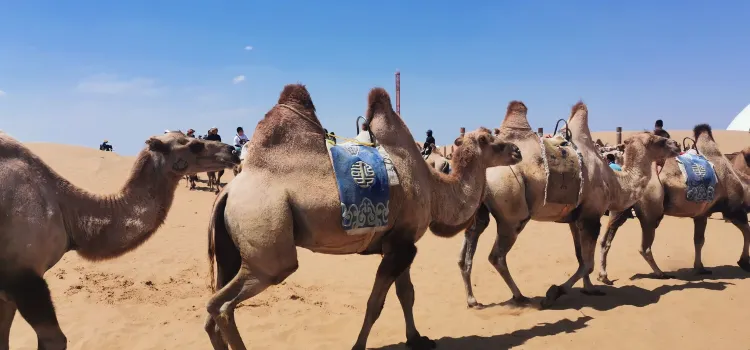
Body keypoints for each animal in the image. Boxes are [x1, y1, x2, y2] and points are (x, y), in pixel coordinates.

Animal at [0, 132, 239, 350]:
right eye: (194, 145)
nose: (233, 151)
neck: (67, 210)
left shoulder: (8, 288)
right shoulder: (24, 277)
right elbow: (55, 339)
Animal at [203, 85, 524, 350]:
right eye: (489, 139)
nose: (517, 150)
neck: (433, 190)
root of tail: (228, 191)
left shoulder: (400, 243)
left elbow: (406, 294)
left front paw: (417, 339)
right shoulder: (400, 247)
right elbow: (375, 304)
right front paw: (359, 346)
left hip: (232, 249)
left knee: (213, 308)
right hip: (268, 243)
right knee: (222, 305)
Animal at [458, 102, 680, 308]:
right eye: (658, 140)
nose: (676, 144)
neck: (615, 182)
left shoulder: (575, 219)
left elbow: (581, 257)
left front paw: (590, 289)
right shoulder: (592, 216)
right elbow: (588, 263)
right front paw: (554, 293)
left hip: (480, 212)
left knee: (466, 253)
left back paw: (472, 300)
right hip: (512, 215)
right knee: (497, 257)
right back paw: (520, 296)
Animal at [600, 124, 750, 284]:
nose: (675, 144)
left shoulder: (702, 214)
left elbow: (699, 240)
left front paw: (700, 268)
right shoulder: (733, 208)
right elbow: (747, 231)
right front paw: (743, 262)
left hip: (620, 209)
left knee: (605, 239)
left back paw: (603, 275)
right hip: (651, 213)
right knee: (644, 247)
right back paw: (661, 273)